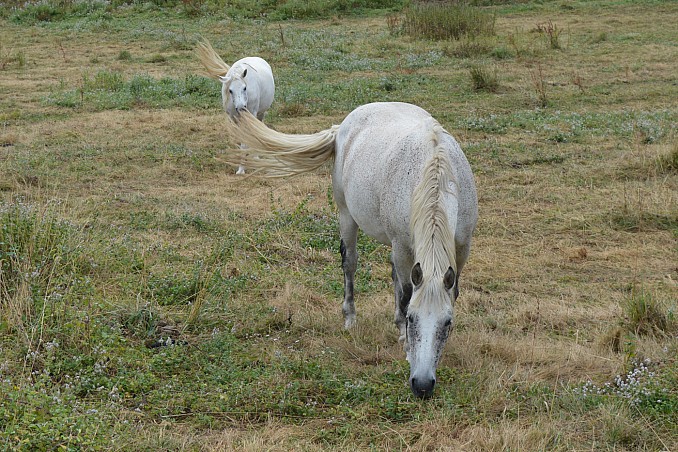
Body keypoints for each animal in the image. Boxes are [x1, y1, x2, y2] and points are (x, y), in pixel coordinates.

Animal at [196, 39, 275, 175]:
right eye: (230, 90)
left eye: (245, 88)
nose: (241, 107)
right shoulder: (234, 118)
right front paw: (240, 167)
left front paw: (242, 168)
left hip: (260, 114)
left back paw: (256, 157)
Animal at [224, 102, 478, 399]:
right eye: (413, 319)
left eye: (447, 323)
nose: (423, 385)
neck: (436, 174)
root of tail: (343, 125)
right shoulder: (403, 246)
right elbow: (405, 295)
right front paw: (405, 343)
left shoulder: (461, 248)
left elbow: (448, 293)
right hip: (347, 216)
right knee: (351, 264)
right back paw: (350, 317)